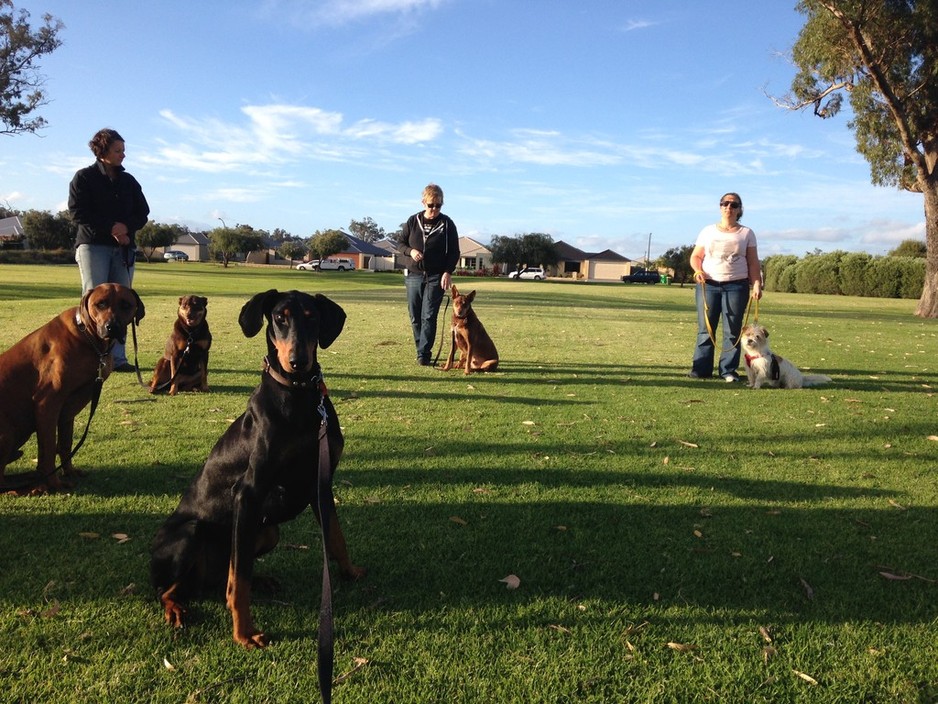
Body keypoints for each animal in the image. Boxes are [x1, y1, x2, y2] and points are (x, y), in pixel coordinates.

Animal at [0, 284, 144, 492]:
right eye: (100, 304)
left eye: (126, 305)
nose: (112, 327)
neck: (89, 337)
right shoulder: (47, 404)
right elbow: (48, 450)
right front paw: (53, 483)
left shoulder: (68, 410)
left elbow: (65, 444)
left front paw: (68, 471)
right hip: (7, 433)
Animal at [149, 288, 362, 648]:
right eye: (279, 318)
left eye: (312, 317)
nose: (298, 362)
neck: (299, 396)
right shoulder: (248, 494)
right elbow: (240, 580)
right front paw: (244, 632)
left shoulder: (320, 483)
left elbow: (336, 538)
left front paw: (350, 573)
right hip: (193, 534)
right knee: (174, 588)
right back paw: (176, 608)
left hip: (267, 531)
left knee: (220, 577)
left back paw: (259, 580)